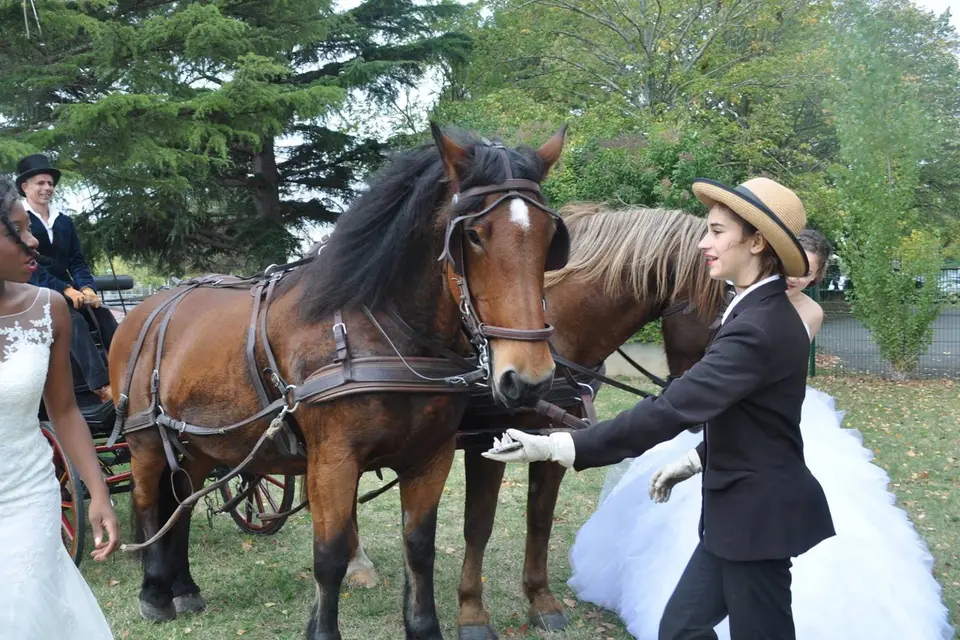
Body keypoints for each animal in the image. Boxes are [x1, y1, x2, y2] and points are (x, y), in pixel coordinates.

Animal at [108, 123, 570, 640]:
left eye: (550, 236)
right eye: (473, 234)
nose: (528, 379)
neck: (384, 331)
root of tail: (145, 310)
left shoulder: (432, 455)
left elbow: (419, 547)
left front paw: (423, 627)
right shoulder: (333, 459)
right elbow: (328, 558)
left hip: (199, 445)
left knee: (184, 503)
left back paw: (185, 589)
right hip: (146, 440)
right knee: (150, 504)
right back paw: (154, 593)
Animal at [346, 202, 728, 639]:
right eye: (725, 310)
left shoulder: (555, 437)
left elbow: (541, 518)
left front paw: (541, 599)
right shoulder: (486, 442)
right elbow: (479, 525)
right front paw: (472, 612)